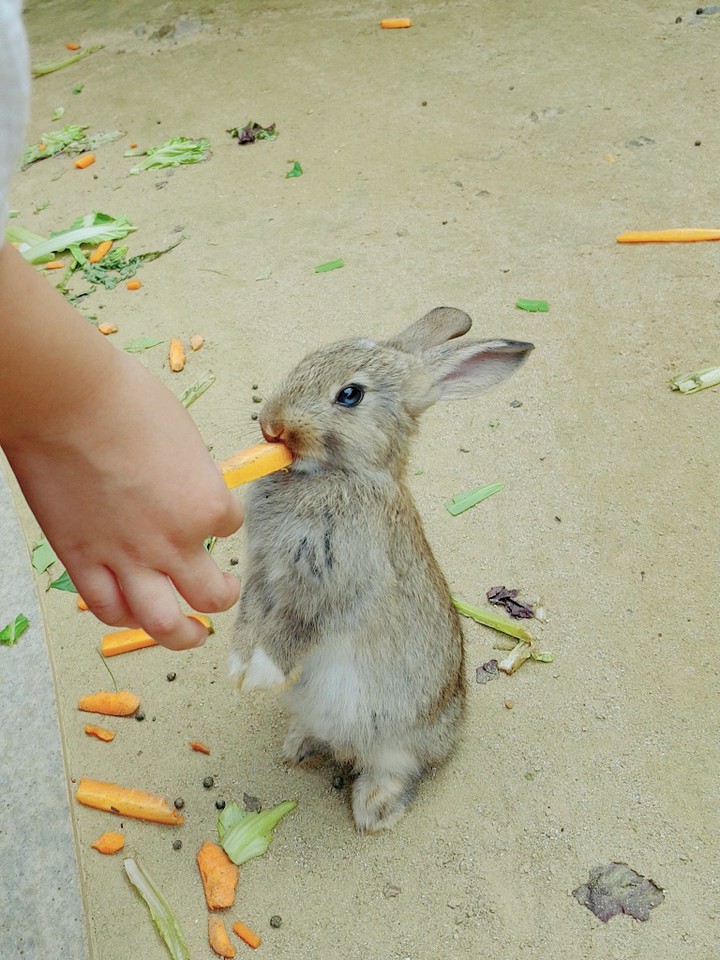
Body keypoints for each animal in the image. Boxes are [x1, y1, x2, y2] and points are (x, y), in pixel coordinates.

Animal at [229, 306, 533, 832]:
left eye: (350, 395)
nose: (271, 426)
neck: (338, 475)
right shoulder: (263, 573)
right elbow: (250, 618)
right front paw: (238, 666)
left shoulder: (330, 585)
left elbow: (294, 630)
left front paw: (260, 676)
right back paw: (299, 746)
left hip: (396, 741)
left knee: (396, 769)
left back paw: (373, 810)